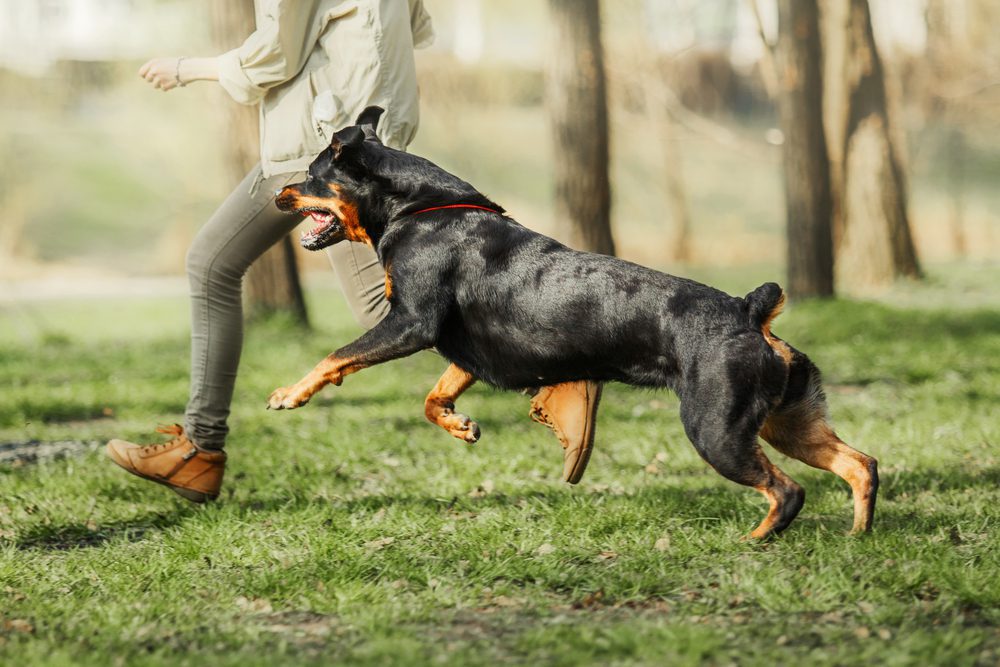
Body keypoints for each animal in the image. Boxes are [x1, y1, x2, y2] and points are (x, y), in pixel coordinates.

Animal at [266, 105, 876, 544]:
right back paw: (859, 533)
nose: (277, 193)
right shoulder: (463, 348)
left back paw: (756, 540)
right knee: (859, 464)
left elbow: (336, 356)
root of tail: (750, 311)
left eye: (311, 176)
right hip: (785, 419)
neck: (418, 211)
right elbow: (433, 398)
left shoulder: (411, 323)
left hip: (716, 429)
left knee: (788, 490)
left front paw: (288, 394)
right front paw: (462, 425)